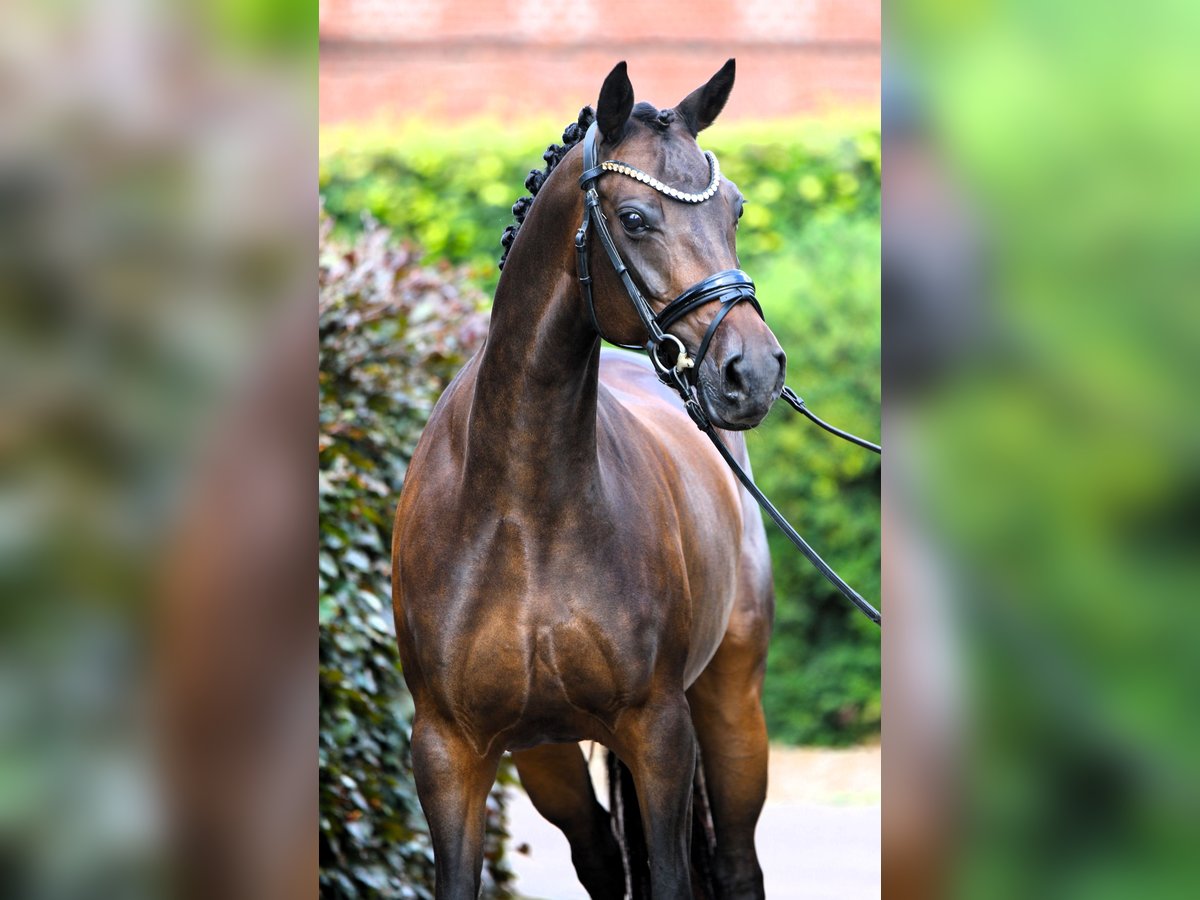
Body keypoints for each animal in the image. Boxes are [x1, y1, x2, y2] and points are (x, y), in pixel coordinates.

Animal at [393, 60, 787, 897]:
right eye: (634, 218)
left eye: (736, 208)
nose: (754, 372)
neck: (522, 512)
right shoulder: (451, 750)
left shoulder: (659, 730)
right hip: (547, 754)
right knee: (601, 854)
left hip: (731, 704)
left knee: (736, 864)